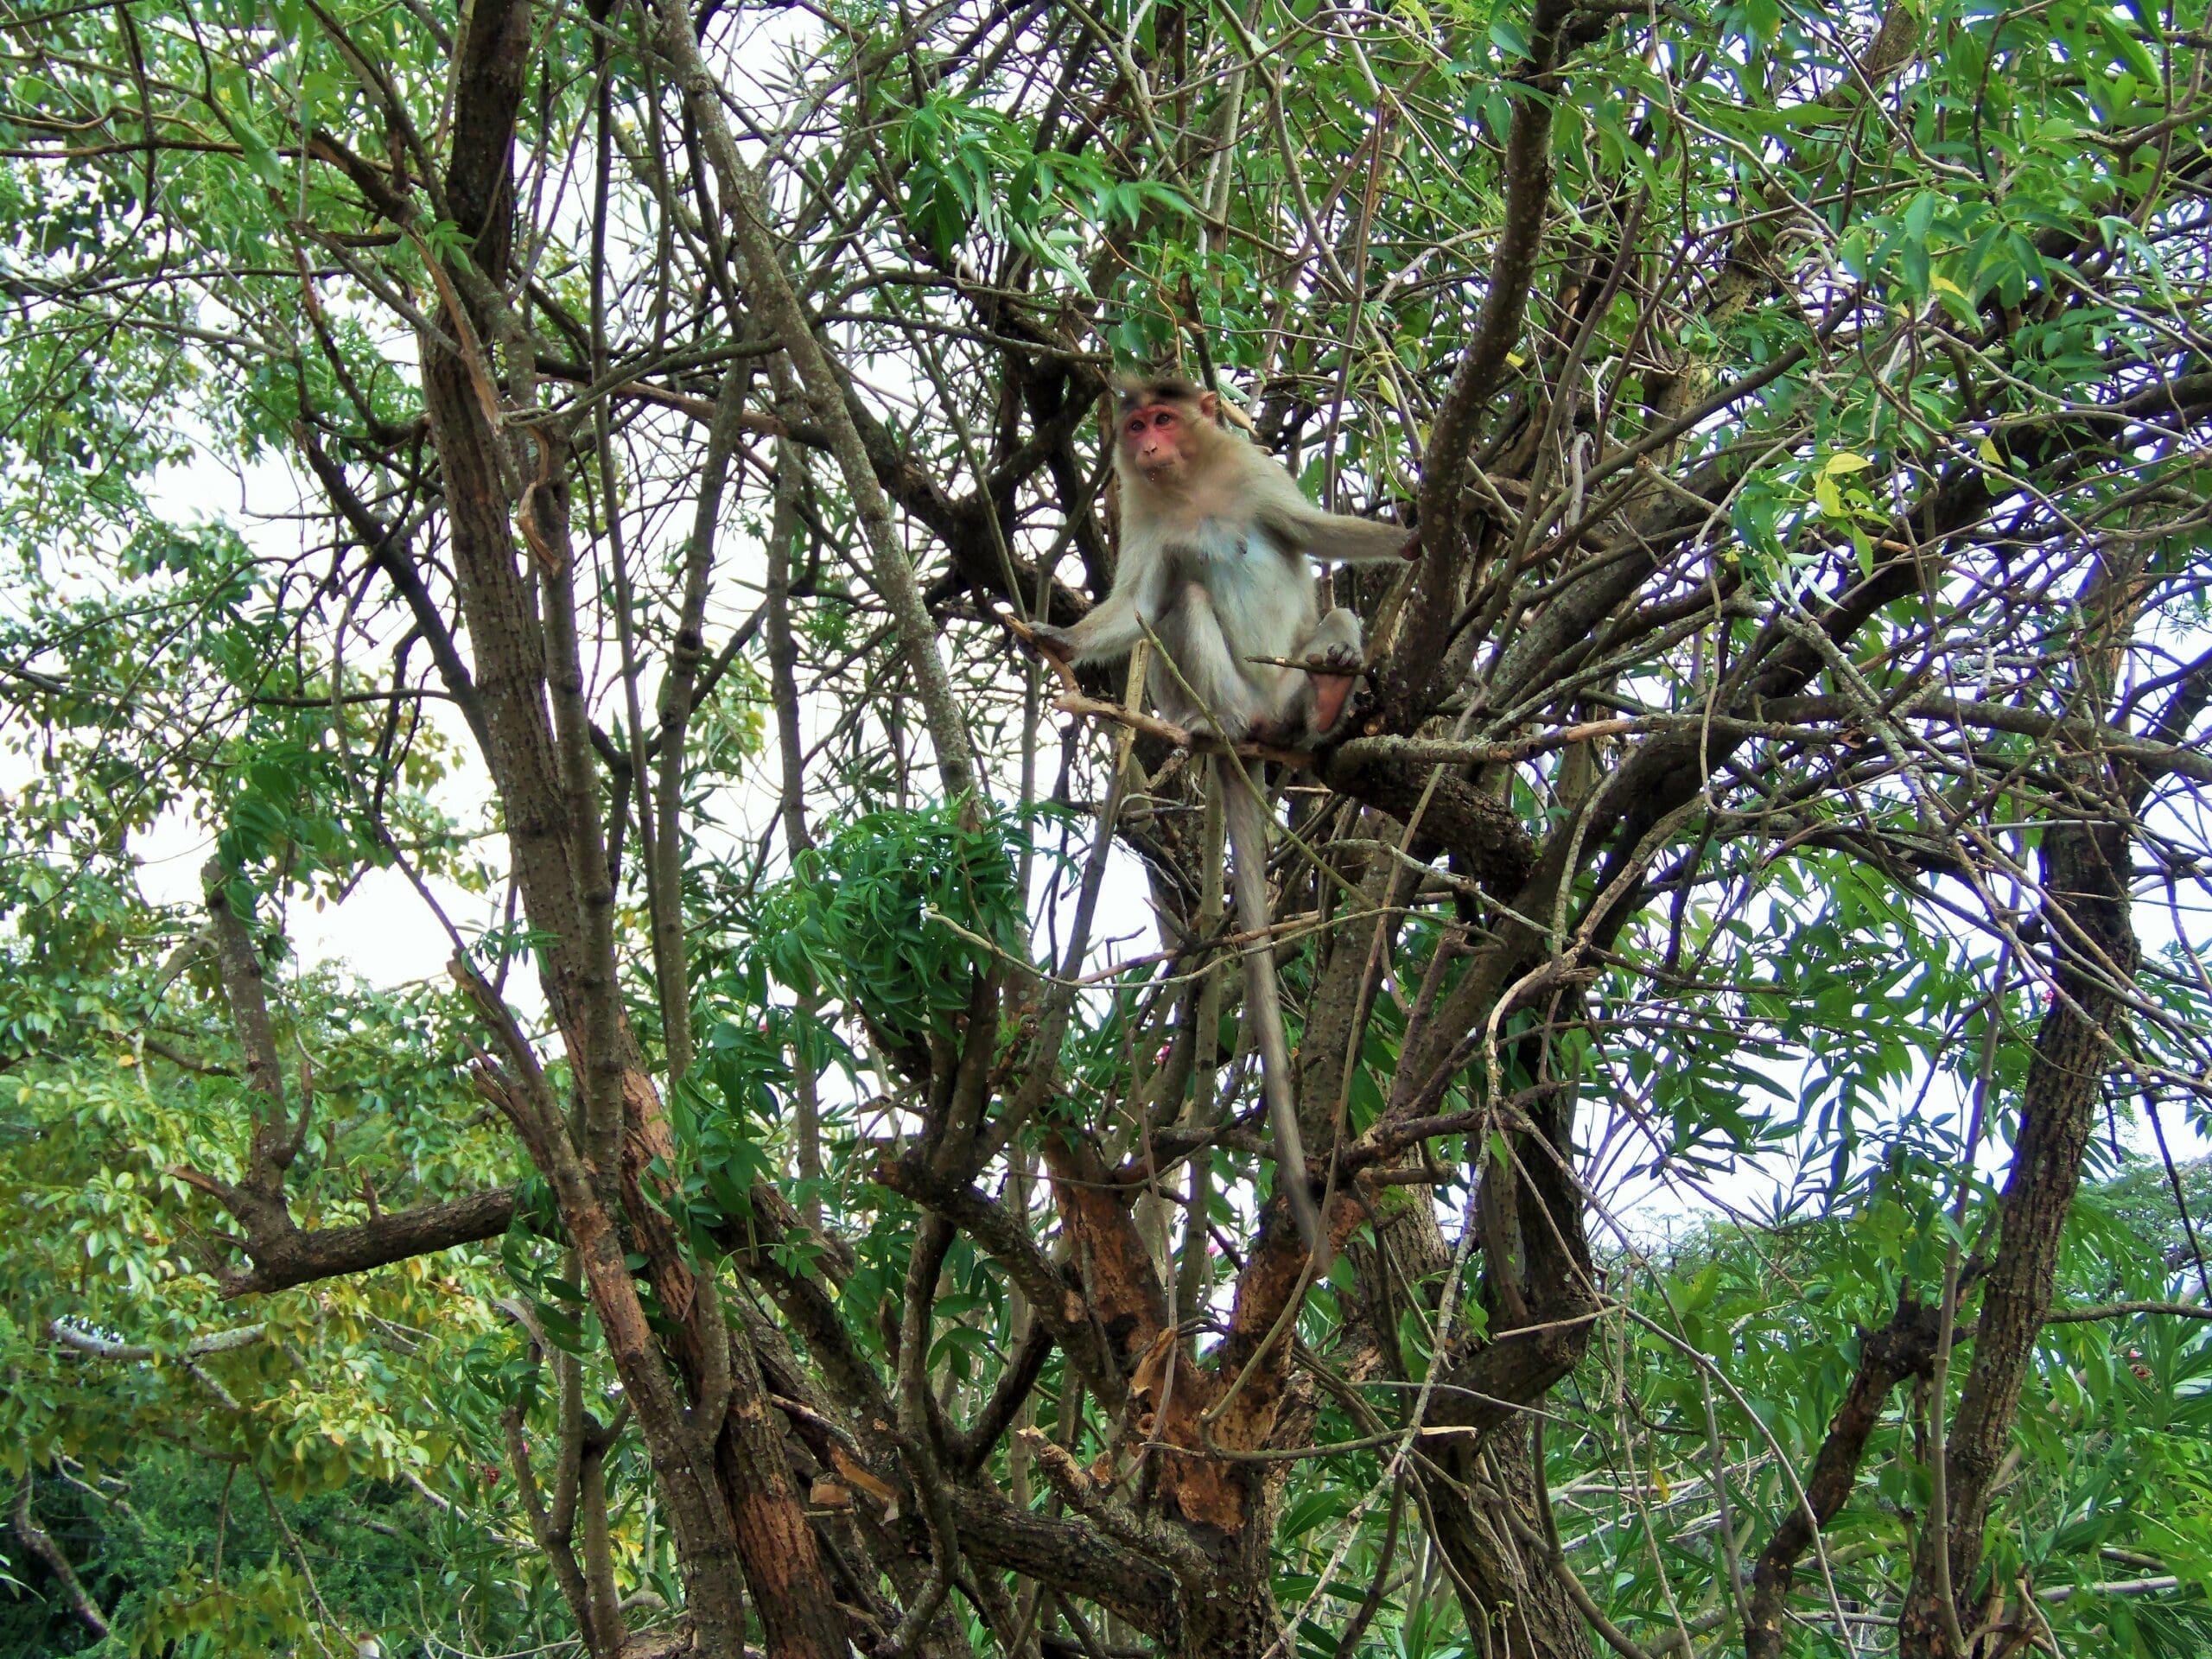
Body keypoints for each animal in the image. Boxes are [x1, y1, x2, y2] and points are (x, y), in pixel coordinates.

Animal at [1030, 369, 1415, 1238]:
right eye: (1136, 424)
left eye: (1163, 419)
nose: (1144, 443)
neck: (1192, 487)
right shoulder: (1143, 515)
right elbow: (1141, 597)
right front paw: (1065, 641)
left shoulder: (1256, 474)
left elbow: (1315, 531)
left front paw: (1422, 535)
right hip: (1213, 690)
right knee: (1189, 601)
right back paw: (1223, 725)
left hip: (1289, 677)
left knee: (1335, 620)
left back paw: (1327, 699)